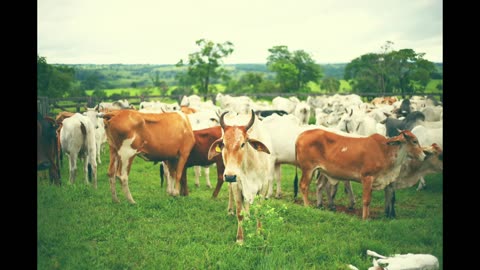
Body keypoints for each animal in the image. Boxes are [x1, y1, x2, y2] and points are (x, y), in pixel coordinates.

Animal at [207, 110, 274, 244]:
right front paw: (240, 239)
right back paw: (230, 211)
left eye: (243, 144)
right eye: (223, 144)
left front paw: (259, 233)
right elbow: (240, 213)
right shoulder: (236, 185)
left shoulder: (263, 186)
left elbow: (258, 211)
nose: (230, 176)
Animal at [296, 128, 424, 219]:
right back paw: (307, 206)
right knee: (303, 186)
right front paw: (365, 218)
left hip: (320, 170)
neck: (385, 151)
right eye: (414, 141)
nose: (424, 155)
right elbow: (366, 200)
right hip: (308, 169)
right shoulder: (367, 177)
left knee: (318, 186)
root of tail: (302, 135)